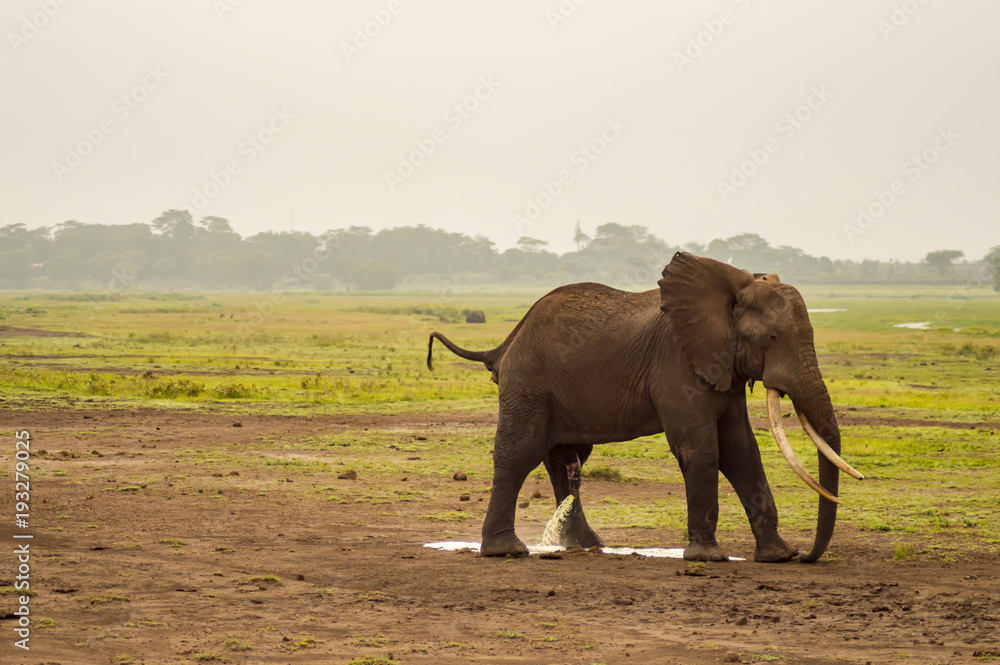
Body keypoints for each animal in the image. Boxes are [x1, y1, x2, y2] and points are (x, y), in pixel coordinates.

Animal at [426, 253, 862, 563]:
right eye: (772, 337)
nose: (807, 556)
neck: (731, 290)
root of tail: (506, 342)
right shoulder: (676, 364)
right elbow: (702, 449)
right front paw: (709, 558)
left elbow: (741, 450)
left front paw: (777, 556)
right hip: (528, 384)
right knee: (520, 454)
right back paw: (507, 551)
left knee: (565, 461)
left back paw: (585, 545)